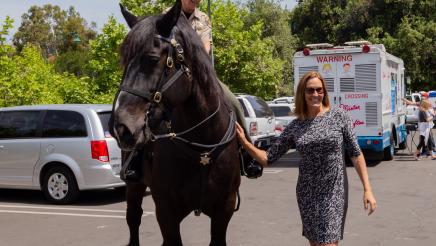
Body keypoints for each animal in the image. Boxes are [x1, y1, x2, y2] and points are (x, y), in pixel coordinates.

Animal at [109, 0, 240, 245]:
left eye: (152, 59)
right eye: (123, 62)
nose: (120, 127)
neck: (201, 147)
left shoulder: (224, 209)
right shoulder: (166, 212)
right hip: (134, 186)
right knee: (133, 218)